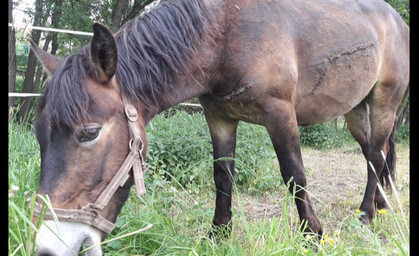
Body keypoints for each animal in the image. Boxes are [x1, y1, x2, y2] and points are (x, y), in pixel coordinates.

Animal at [31, 0, 408, 254]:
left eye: (89, 133)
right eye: (39, 137)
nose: (52, 244)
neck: (223, 32)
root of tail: (397, 20)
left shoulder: (280, 113)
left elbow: (294, 174)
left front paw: (312, 235)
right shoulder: (219, 117)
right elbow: (222, 176)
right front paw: (218, 234)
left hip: (383, 104)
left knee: (376, 156)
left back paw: (366, 215)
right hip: (355, 110)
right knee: (374, 154)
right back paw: (380, 204)